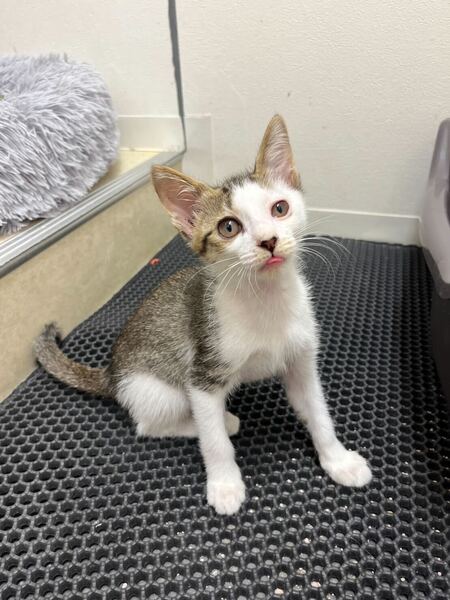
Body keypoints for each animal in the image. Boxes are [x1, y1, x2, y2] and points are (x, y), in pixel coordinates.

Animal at [35, 115, 372, 515]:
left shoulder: (301, 361)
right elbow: (213, 441)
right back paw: (220, 421)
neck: (265, 300)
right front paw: (225, 485)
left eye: (280, 208)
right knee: (154, 425)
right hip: (158, 389)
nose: (269, 241)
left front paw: (339, 460)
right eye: (229, 227)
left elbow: (318, 413)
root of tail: (112, 373)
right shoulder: (202, 375)